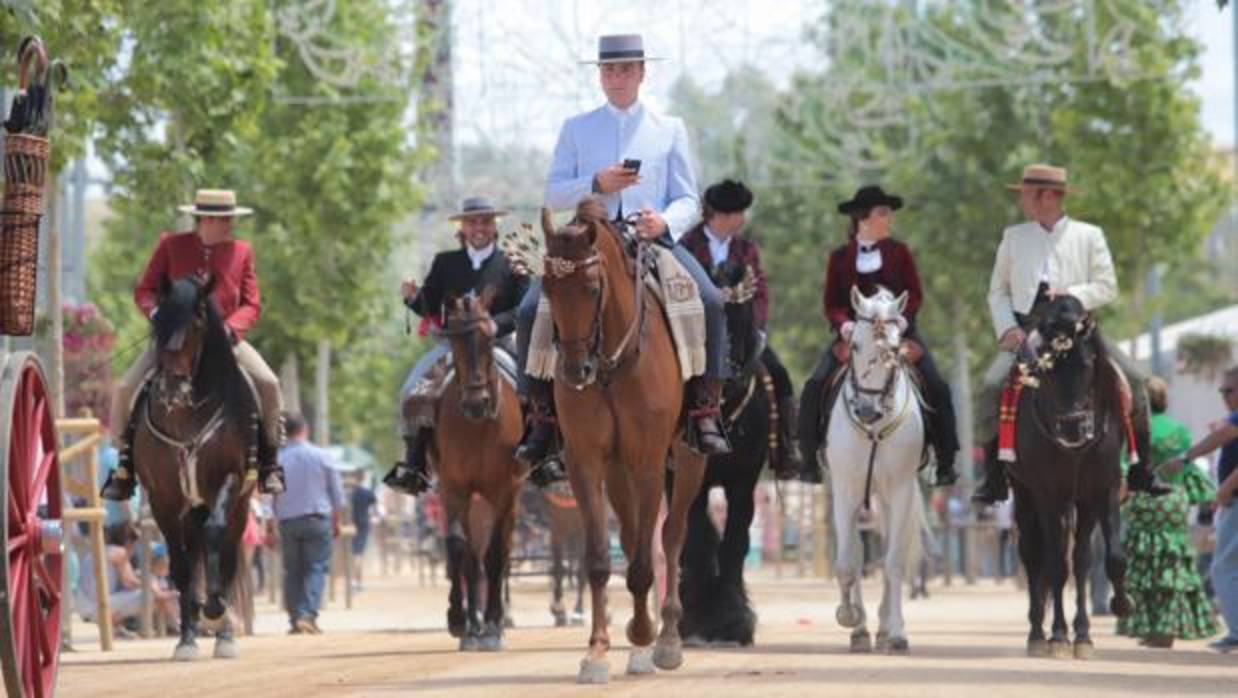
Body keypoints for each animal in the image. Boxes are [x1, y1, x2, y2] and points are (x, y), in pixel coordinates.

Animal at [133, 277, 258, 658]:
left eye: (198, 321)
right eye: (158, 321)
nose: (171, 388)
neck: (186, 414)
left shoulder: (229, 478)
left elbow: (217, 537)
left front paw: (215, 609)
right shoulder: (163, 497)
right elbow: (181, 565)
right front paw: (187, 638)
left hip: (239, 506)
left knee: (227, 555)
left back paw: (225, 632)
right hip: (190, 509)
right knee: (192, 556)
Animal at [539, 196, 708, 683]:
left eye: (593, 287)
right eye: (547, 287)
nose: (575, 371)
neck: (613, 364)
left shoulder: (648, 461)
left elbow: (645, 560)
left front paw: (644, 641)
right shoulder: (586, 463)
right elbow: (599, 559)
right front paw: (597, 651)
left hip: (687, 458)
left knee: (670, 535)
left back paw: (665, 639)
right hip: (617, 470)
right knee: (633, 535)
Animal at [1010, 294, 1134, 658]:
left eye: (1089, 363)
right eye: (1047, 369)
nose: (1073, 428)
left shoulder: (1101, 490)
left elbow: (1103, 559)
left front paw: (1108, 615)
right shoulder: (1047, 494)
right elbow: (1056, 566)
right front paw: (1059, 636)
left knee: (1075, 559)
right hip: (1024, 495)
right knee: (1034, 556)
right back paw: (1038, 633)